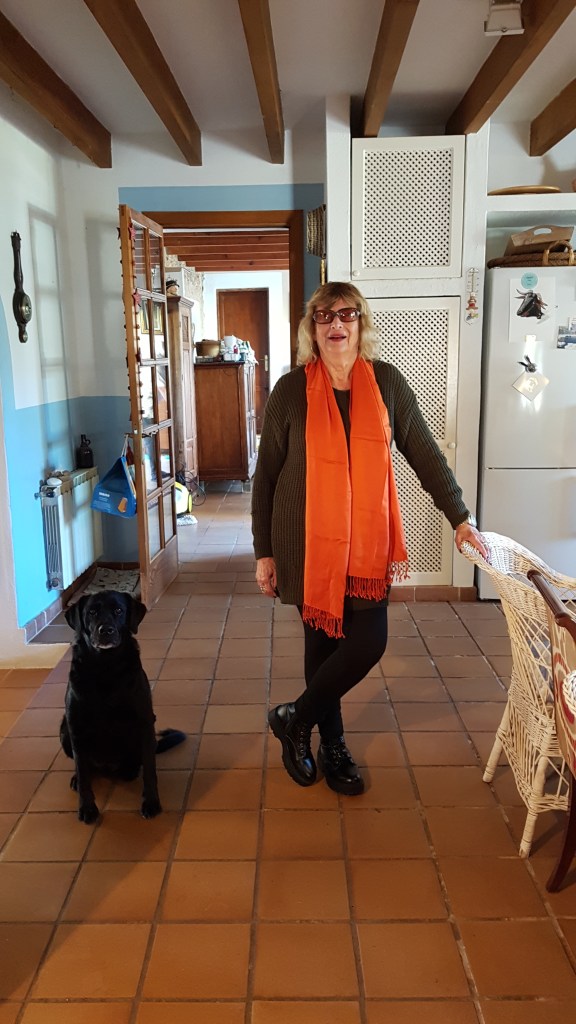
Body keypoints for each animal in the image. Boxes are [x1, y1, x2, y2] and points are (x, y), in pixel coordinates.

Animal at [61, 590, 185, 824]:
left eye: (119, 610)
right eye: (91, 612)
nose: (106, 630)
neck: (105, 667)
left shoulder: (145, 723)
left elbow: (150, 771)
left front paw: (151, 803)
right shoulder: (76, 727)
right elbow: (83, 774)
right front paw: (87, 807)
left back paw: (129, 770)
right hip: (64, 731)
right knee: (84, 767)